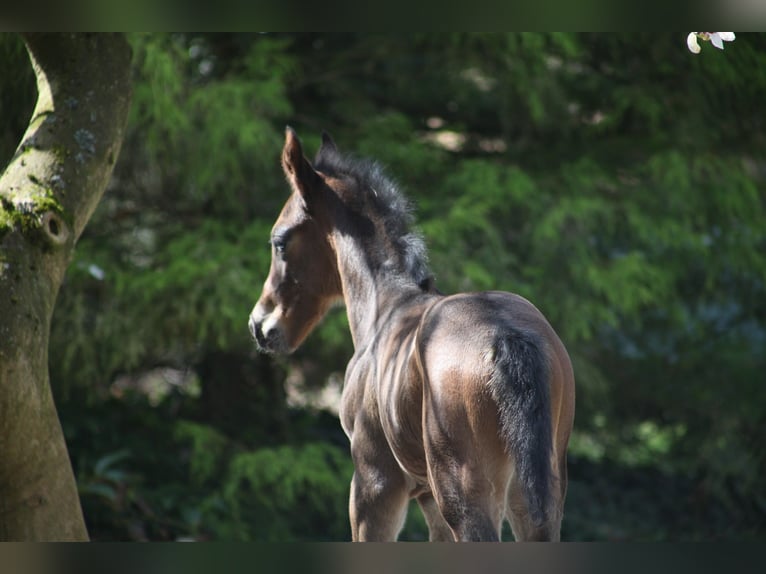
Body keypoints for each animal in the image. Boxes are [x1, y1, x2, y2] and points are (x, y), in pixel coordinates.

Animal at [248, 128, 575, 541]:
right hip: (536, 494)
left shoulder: (374, 483)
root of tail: (506, 336)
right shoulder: (428, 500)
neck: (384, 307)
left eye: (279, 241)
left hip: (462, 491)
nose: (260, 325)